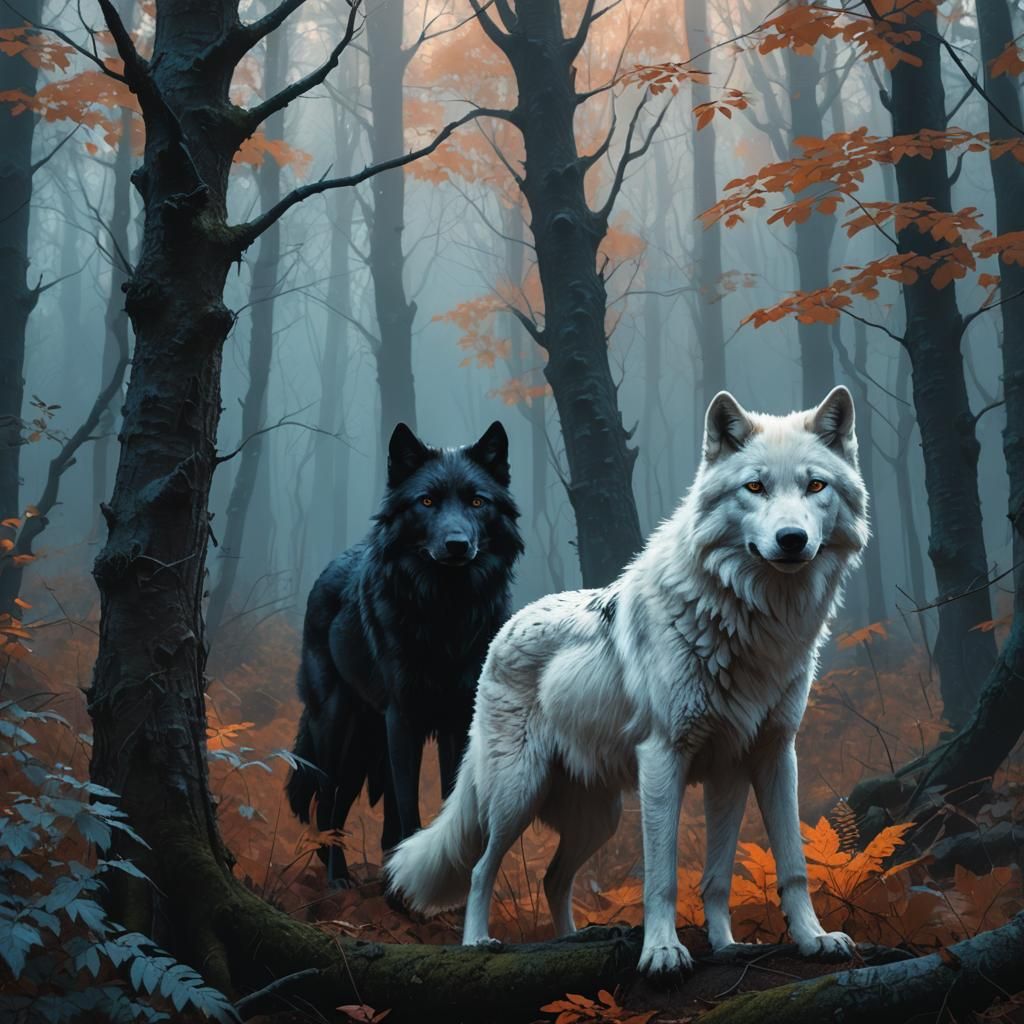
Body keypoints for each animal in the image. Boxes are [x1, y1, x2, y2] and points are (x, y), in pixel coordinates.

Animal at [285, 421, 524, 887]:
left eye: (477, 501)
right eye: (426, 501)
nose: (456, 544)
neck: (447, 616)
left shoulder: (455, 720)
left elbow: (446, 801)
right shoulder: (405, 717)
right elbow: (409, 807)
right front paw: (404, 893)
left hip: (366, 743)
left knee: (349, 804)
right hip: (337, 727)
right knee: (327, 800)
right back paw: (337, 878)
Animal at [387, 387, 869, 974]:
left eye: (815, 486)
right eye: (754, 487)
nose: (792, 539)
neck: (753, 622)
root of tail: (505, 629)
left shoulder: (762, 757)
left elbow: (766, 869)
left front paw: (784, 941)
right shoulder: (664, 757)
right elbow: (661, 877)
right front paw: (662, 951)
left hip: (601, 817)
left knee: (554, 878)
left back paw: (573, 941)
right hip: (518, 793)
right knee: (481, 869)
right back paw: (479, 942)